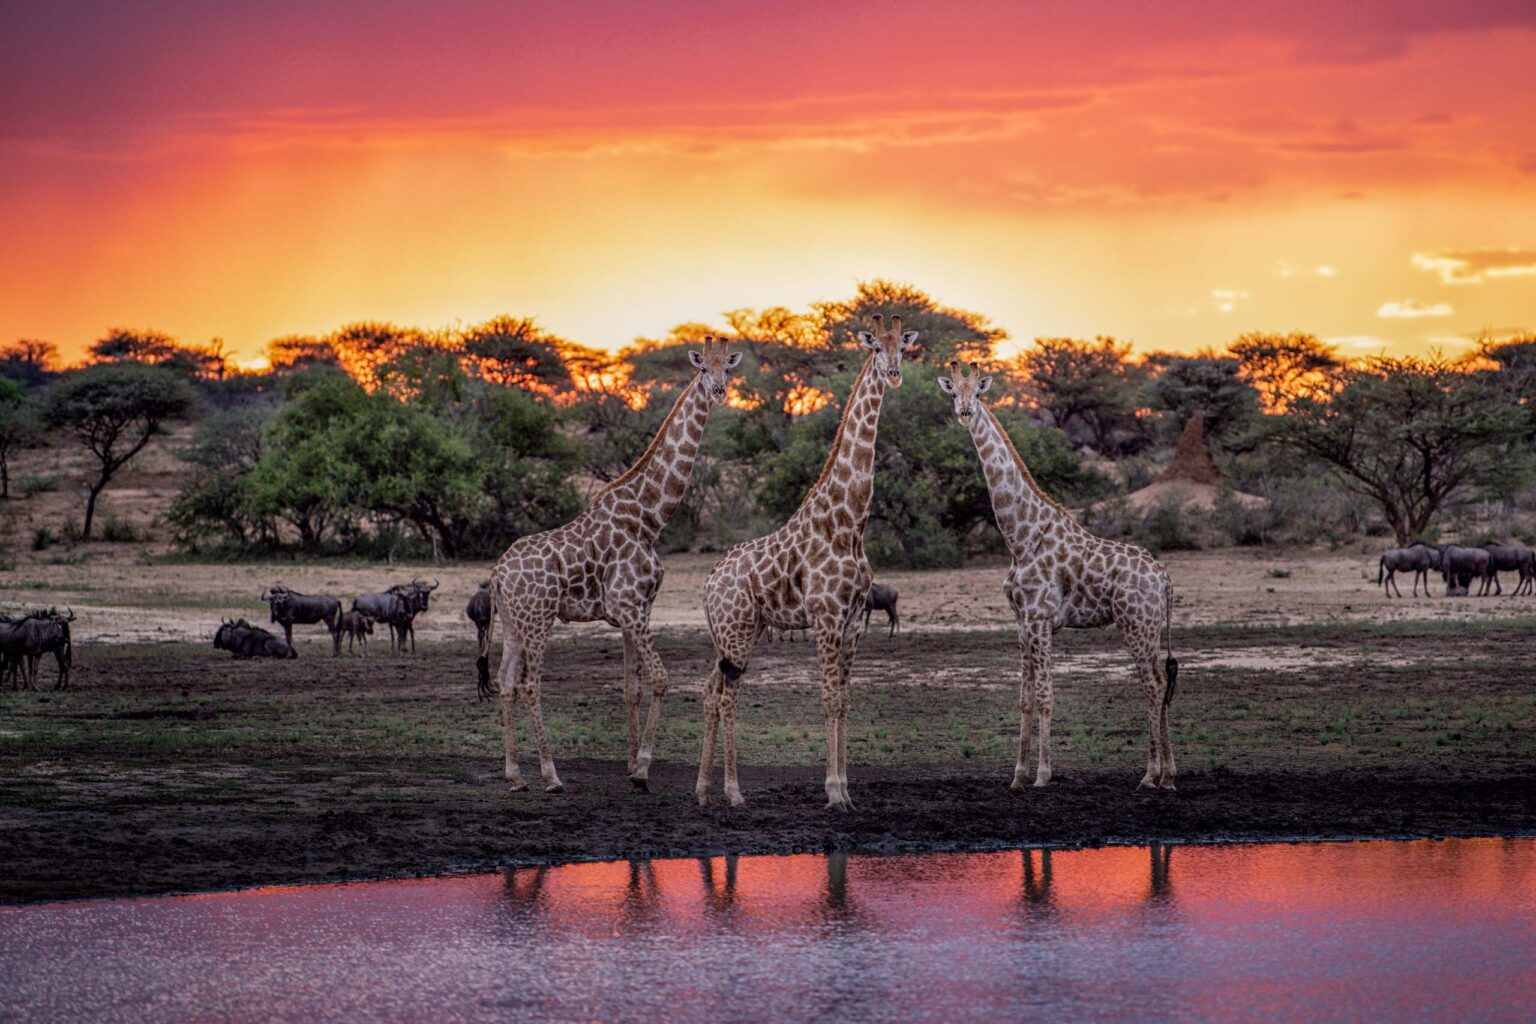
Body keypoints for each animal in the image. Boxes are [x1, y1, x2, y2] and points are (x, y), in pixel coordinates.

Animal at [479, 336, 743, 792]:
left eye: (726, 367)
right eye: (701, 369)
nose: (719, 391)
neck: (651, 517)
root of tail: (497, 574)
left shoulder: (635, 612)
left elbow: (630, 687)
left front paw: (631, 765)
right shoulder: (630, 607)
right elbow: (661, 679)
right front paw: (643, 769)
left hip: (513, 622)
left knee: (506, 680)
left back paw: (515, 775)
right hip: (538, 618)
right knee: (529, 684)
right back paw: (550, 774)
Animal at [694, 313, 909, 810]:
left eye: (903, 347)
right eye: (875, 347)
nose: (894, 373)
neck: (849, 523)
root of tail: (709, 583)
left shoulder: (852, 622)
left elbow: (844, 701)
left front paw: (847, 790)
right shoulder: (827, 618)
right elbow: (828, 699)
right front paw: (832, 793)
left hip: (736, 632)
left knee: (710, 691)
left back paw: (702, 791)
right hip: (737, 633)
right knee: (728, 696)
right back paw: (734, 793)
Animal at [933, 362, 1173, 792]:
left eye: (977, 392)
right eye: (953, 393)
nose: (965, 412)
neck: (1020, 535)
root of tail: (1163, 577)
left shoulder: (1042, 618)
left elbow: (1045, 694)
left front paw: (1043, 774)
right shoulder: (1021, 621)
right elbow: (1025, 697)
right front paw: (1018, 775)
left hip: (1136, 625)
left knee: (1154, 684)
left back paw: (1150, 775)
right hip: (1150, 626)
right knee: (1163, 681)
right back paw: (1170, 774)